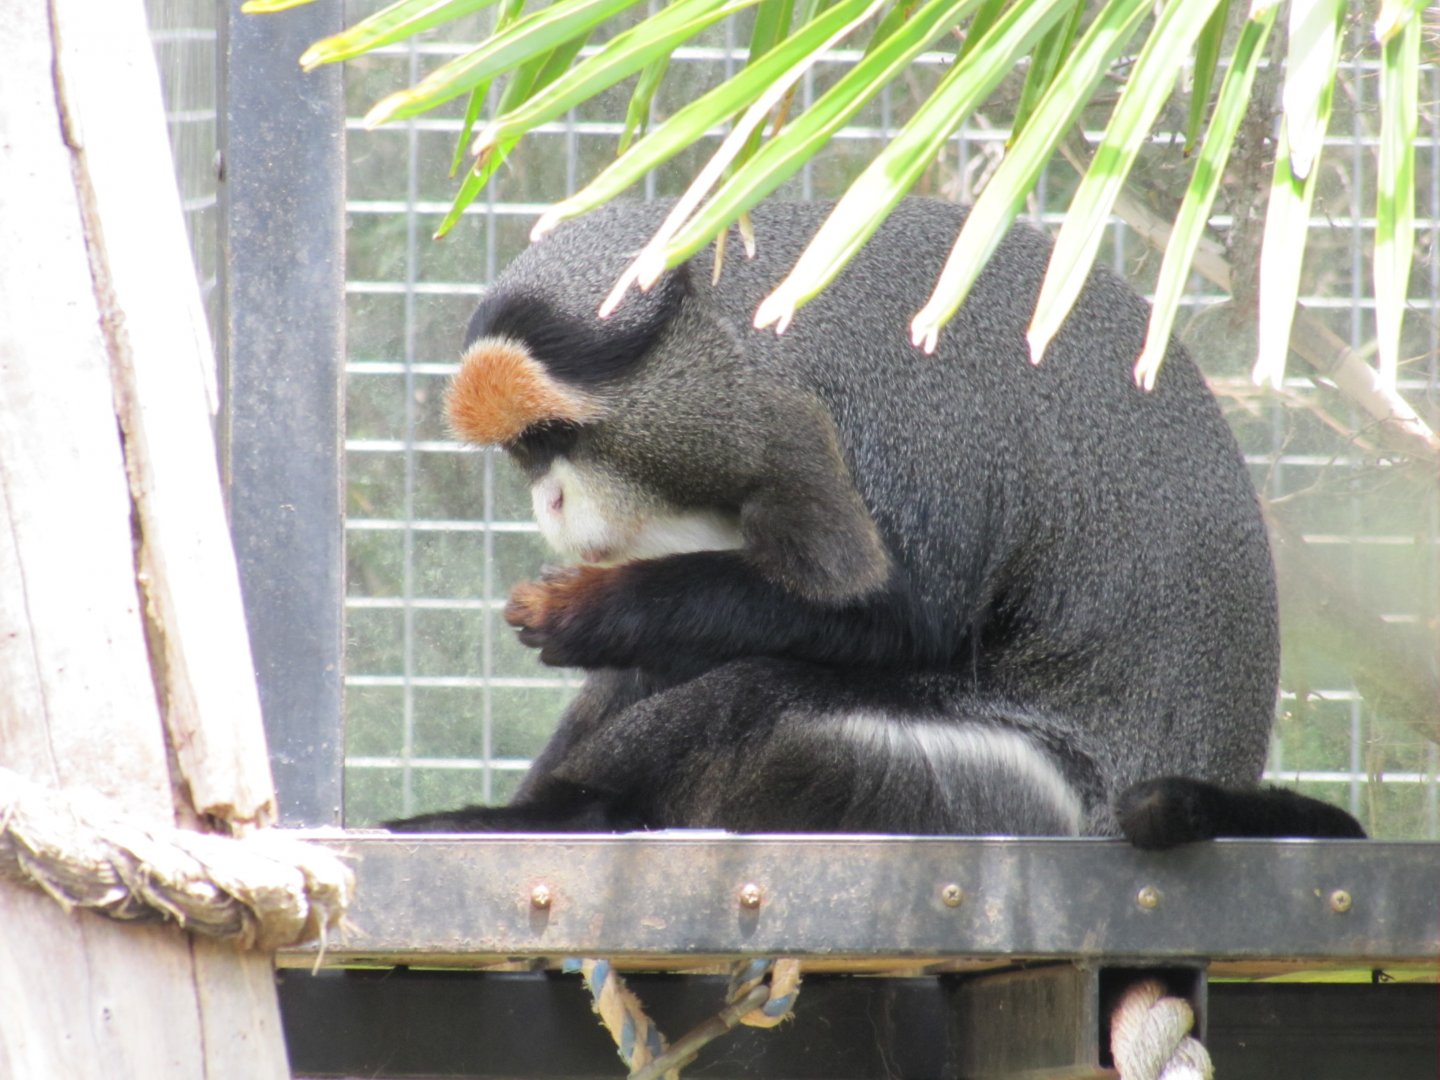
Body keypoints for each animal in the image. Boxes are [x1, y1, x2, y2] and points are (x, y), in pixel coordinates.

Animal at [387, 198, 1365, 847]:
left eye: (555, 438)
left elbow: (902, 617)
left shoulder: (884, 418)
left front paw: (593, 612)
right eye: (526, 454)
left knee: (761, 693)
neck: (737, 333)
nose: (548, 501)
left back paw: (578, 812)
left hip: (987, 795)